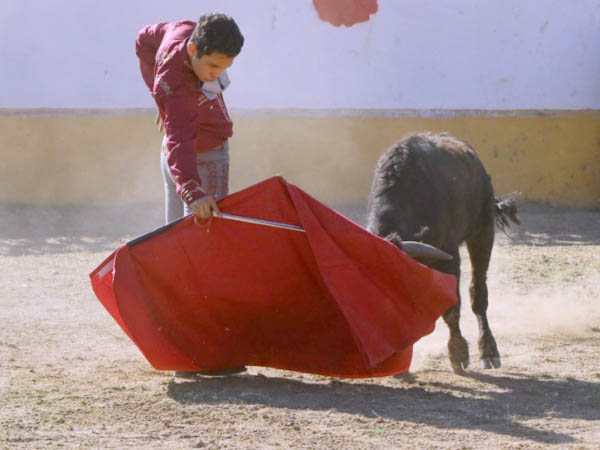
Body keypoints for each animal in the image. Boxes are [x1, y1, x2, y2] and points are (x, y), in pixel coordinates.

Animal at [366, 132, 520, 374]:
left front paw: (458, 354)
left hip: (482, 232)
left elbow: (451, 308)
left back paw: (489, 352)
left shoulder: (450, 256)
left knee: (478, 292)